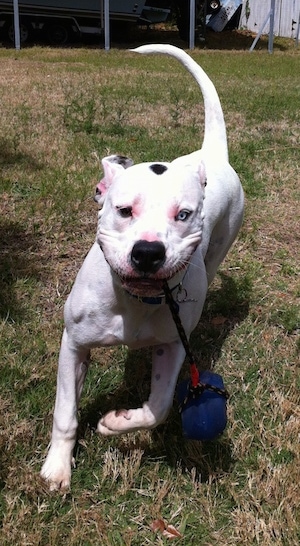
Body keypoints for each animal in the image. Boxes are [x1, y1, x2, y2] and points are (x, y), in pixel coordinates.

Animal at [41, 44, 244, 486]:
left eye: (183, 215)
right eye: (123, 210)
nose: (148, 252)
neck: (134, 301)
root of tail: (210, 154)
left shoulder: (173, 346)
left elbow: (159, 406)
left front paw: (116, 422)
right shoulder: (74, 345)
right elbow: (65, 412)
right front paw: (57, 466)